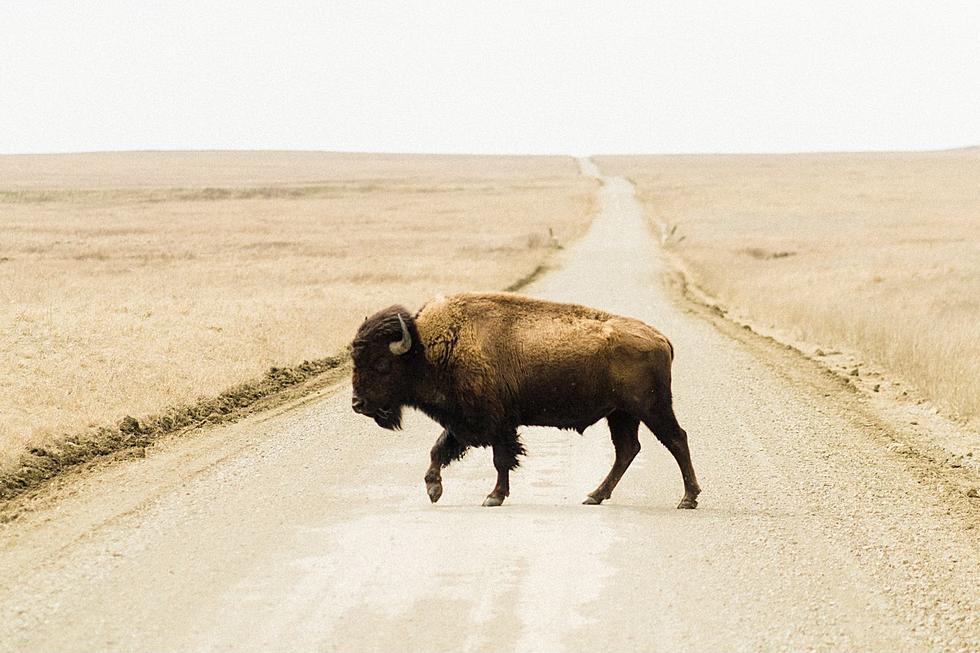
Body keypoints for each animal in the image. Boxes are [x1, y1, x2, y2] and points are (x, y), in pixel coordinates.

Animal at [348, 292, 700, 510]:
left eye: (382, 363)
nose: (357, 404)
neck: (429, 348)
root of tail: (661, 338)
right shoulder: (463, 422)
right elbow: (439, 449)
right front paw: (434, 490)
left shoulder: (496, 423)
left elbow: (500, 459)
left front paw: (493, 497)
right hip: (621, 414)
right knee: (627, 450)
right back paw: (594, 496)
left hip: (651, 408)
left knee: (675, 440)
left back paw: (688, 499)